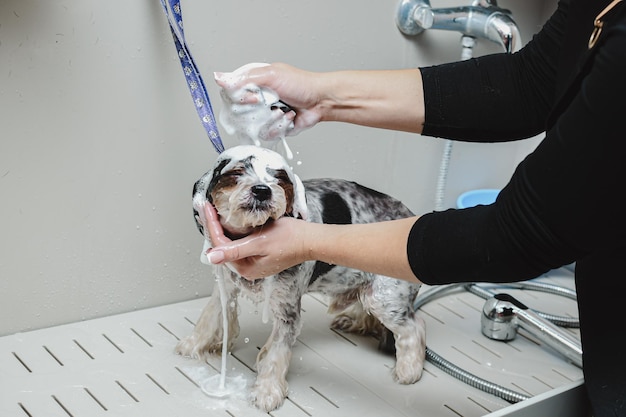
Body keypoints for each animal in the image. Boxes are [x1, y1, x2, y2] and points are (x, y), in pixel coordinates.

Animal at [178, 145, 426, 412]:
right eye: (236, 172)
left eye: (280, 178)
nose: (262, 190)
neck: (246, 236)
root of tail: (410, 215)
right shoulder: (225, 283)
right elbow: (211, 316)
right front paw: (193, 345)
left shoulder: (288, 312)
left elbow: (276, 354)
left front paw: (267, 391)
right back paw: (352, 321)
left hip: (385, 297)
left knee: (415, 327)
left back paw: (409, 370)